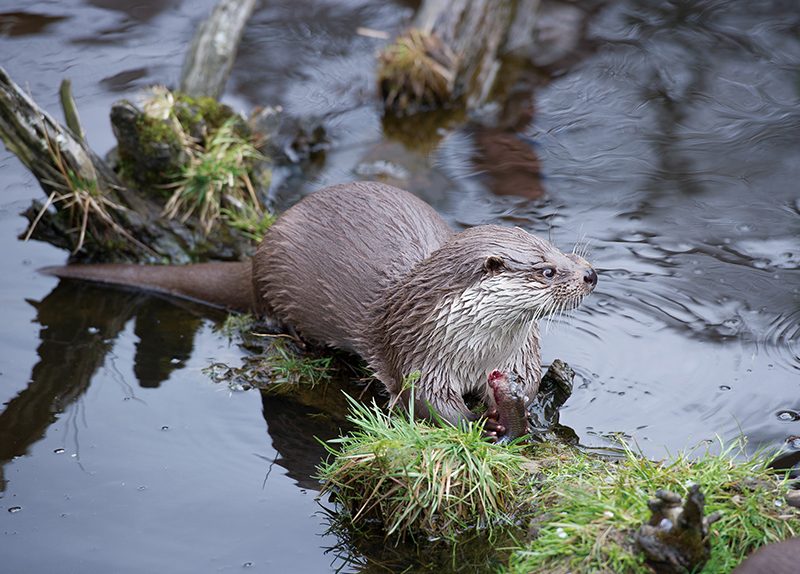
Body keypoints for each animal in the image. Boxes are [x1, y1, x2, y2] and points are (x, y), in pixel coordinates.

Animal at [44, 181, 597, 427]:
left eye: (562, 253)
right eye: (548, 271)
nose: (590, 274)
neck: (478, 350)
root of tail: (256, 256)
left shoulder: (517, 354)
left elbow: (527, 385)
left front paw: (514, 408)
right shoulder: (419, 355)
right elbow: (430, 406)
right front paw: (480, 426)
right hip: (275, 287)